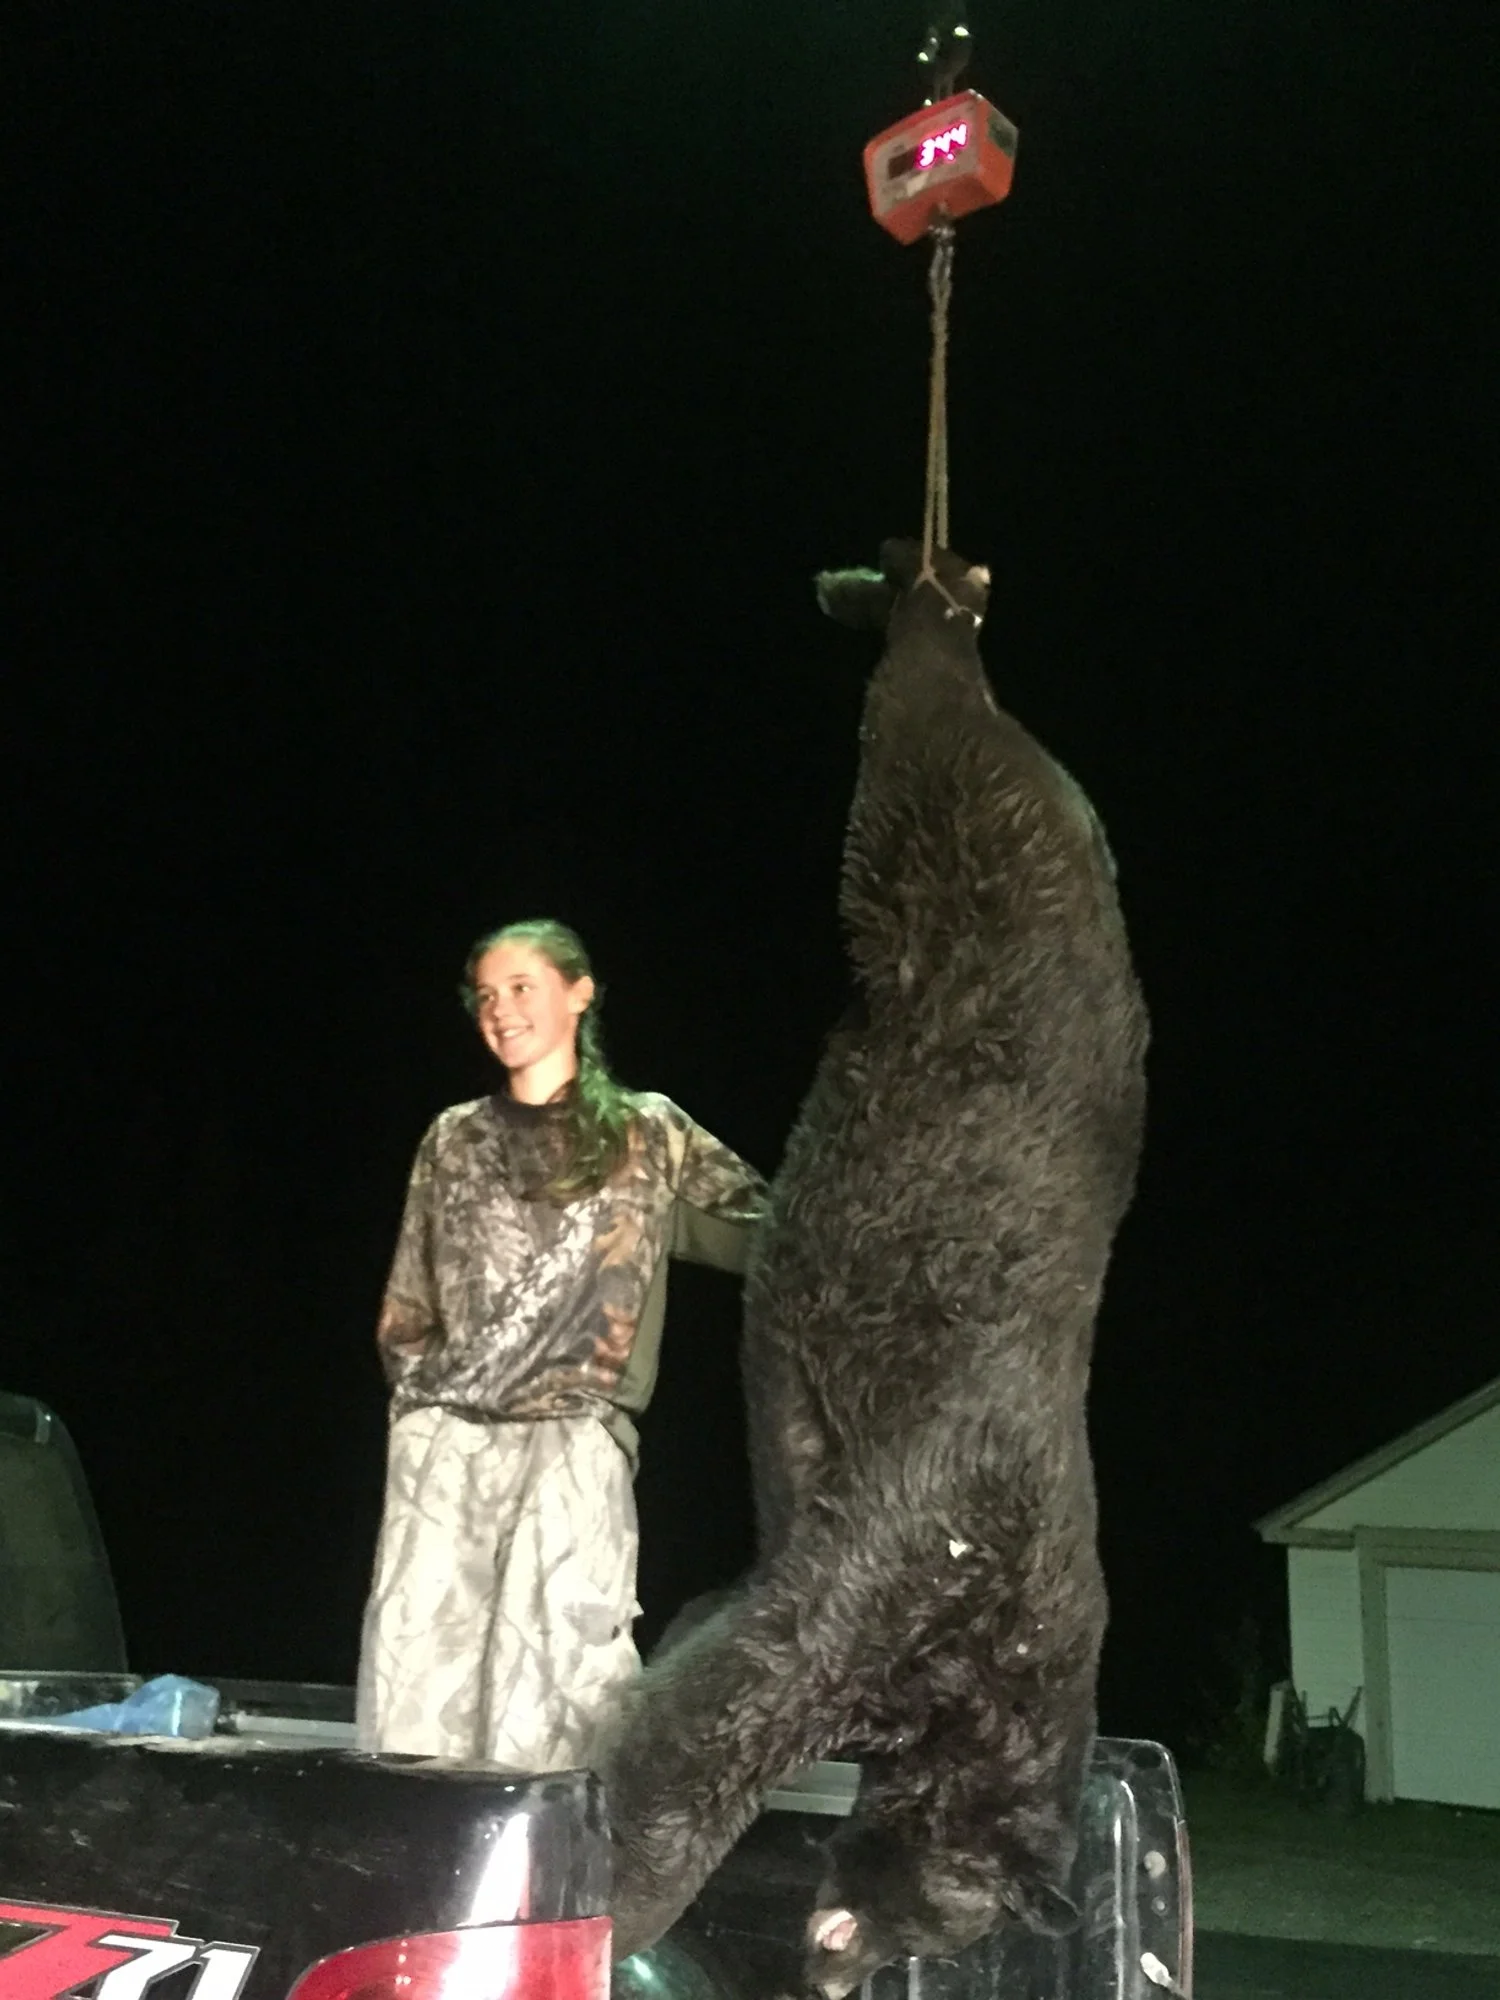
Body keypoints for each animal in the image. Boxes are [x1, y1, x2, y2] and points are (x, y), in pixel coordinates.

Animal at [604, 539, 1148, 1997]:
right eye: (946, 1914)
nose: (841, 1967)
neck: (991, 1675)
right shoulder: (885, 1577)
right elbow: (698, 1752)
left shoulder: (788, 1590)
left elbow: (700, 1630)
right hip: (928, 811)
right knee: (917, 685)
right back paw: (903, 588)